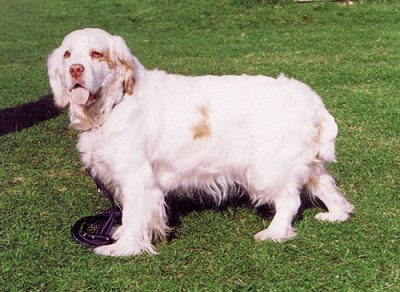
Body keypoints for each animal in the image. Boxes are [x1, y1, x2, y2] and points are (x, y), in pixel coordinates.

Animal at [47, 27, 354, 256]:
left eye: (96, 54)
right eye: (67, 54)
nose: (75, 70)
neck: (116, 101)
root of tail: (309, 99)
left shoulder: (136, 176)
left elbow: (134, 214)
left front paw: (123, 248)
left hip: (266, 167)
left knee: (290, 200)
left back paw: (274, 233)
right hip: (304, 162)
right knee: (325, 185)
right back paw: (336, 214)